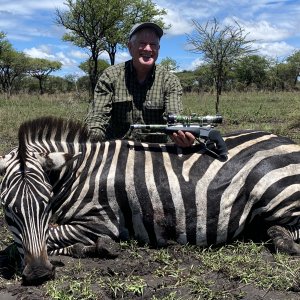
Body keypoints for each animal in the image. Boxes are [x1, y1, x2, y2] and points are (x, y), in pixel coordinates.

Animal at [0, 115, 298, 286]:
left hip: (276, 190)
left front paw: (97, 247)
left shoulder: (100, 220)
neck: (77, 173)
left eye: (47, 204)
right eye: (7, 211)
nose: (39, 274)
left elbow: (42, 238)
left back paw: (285, 241)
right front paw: (88, 248)